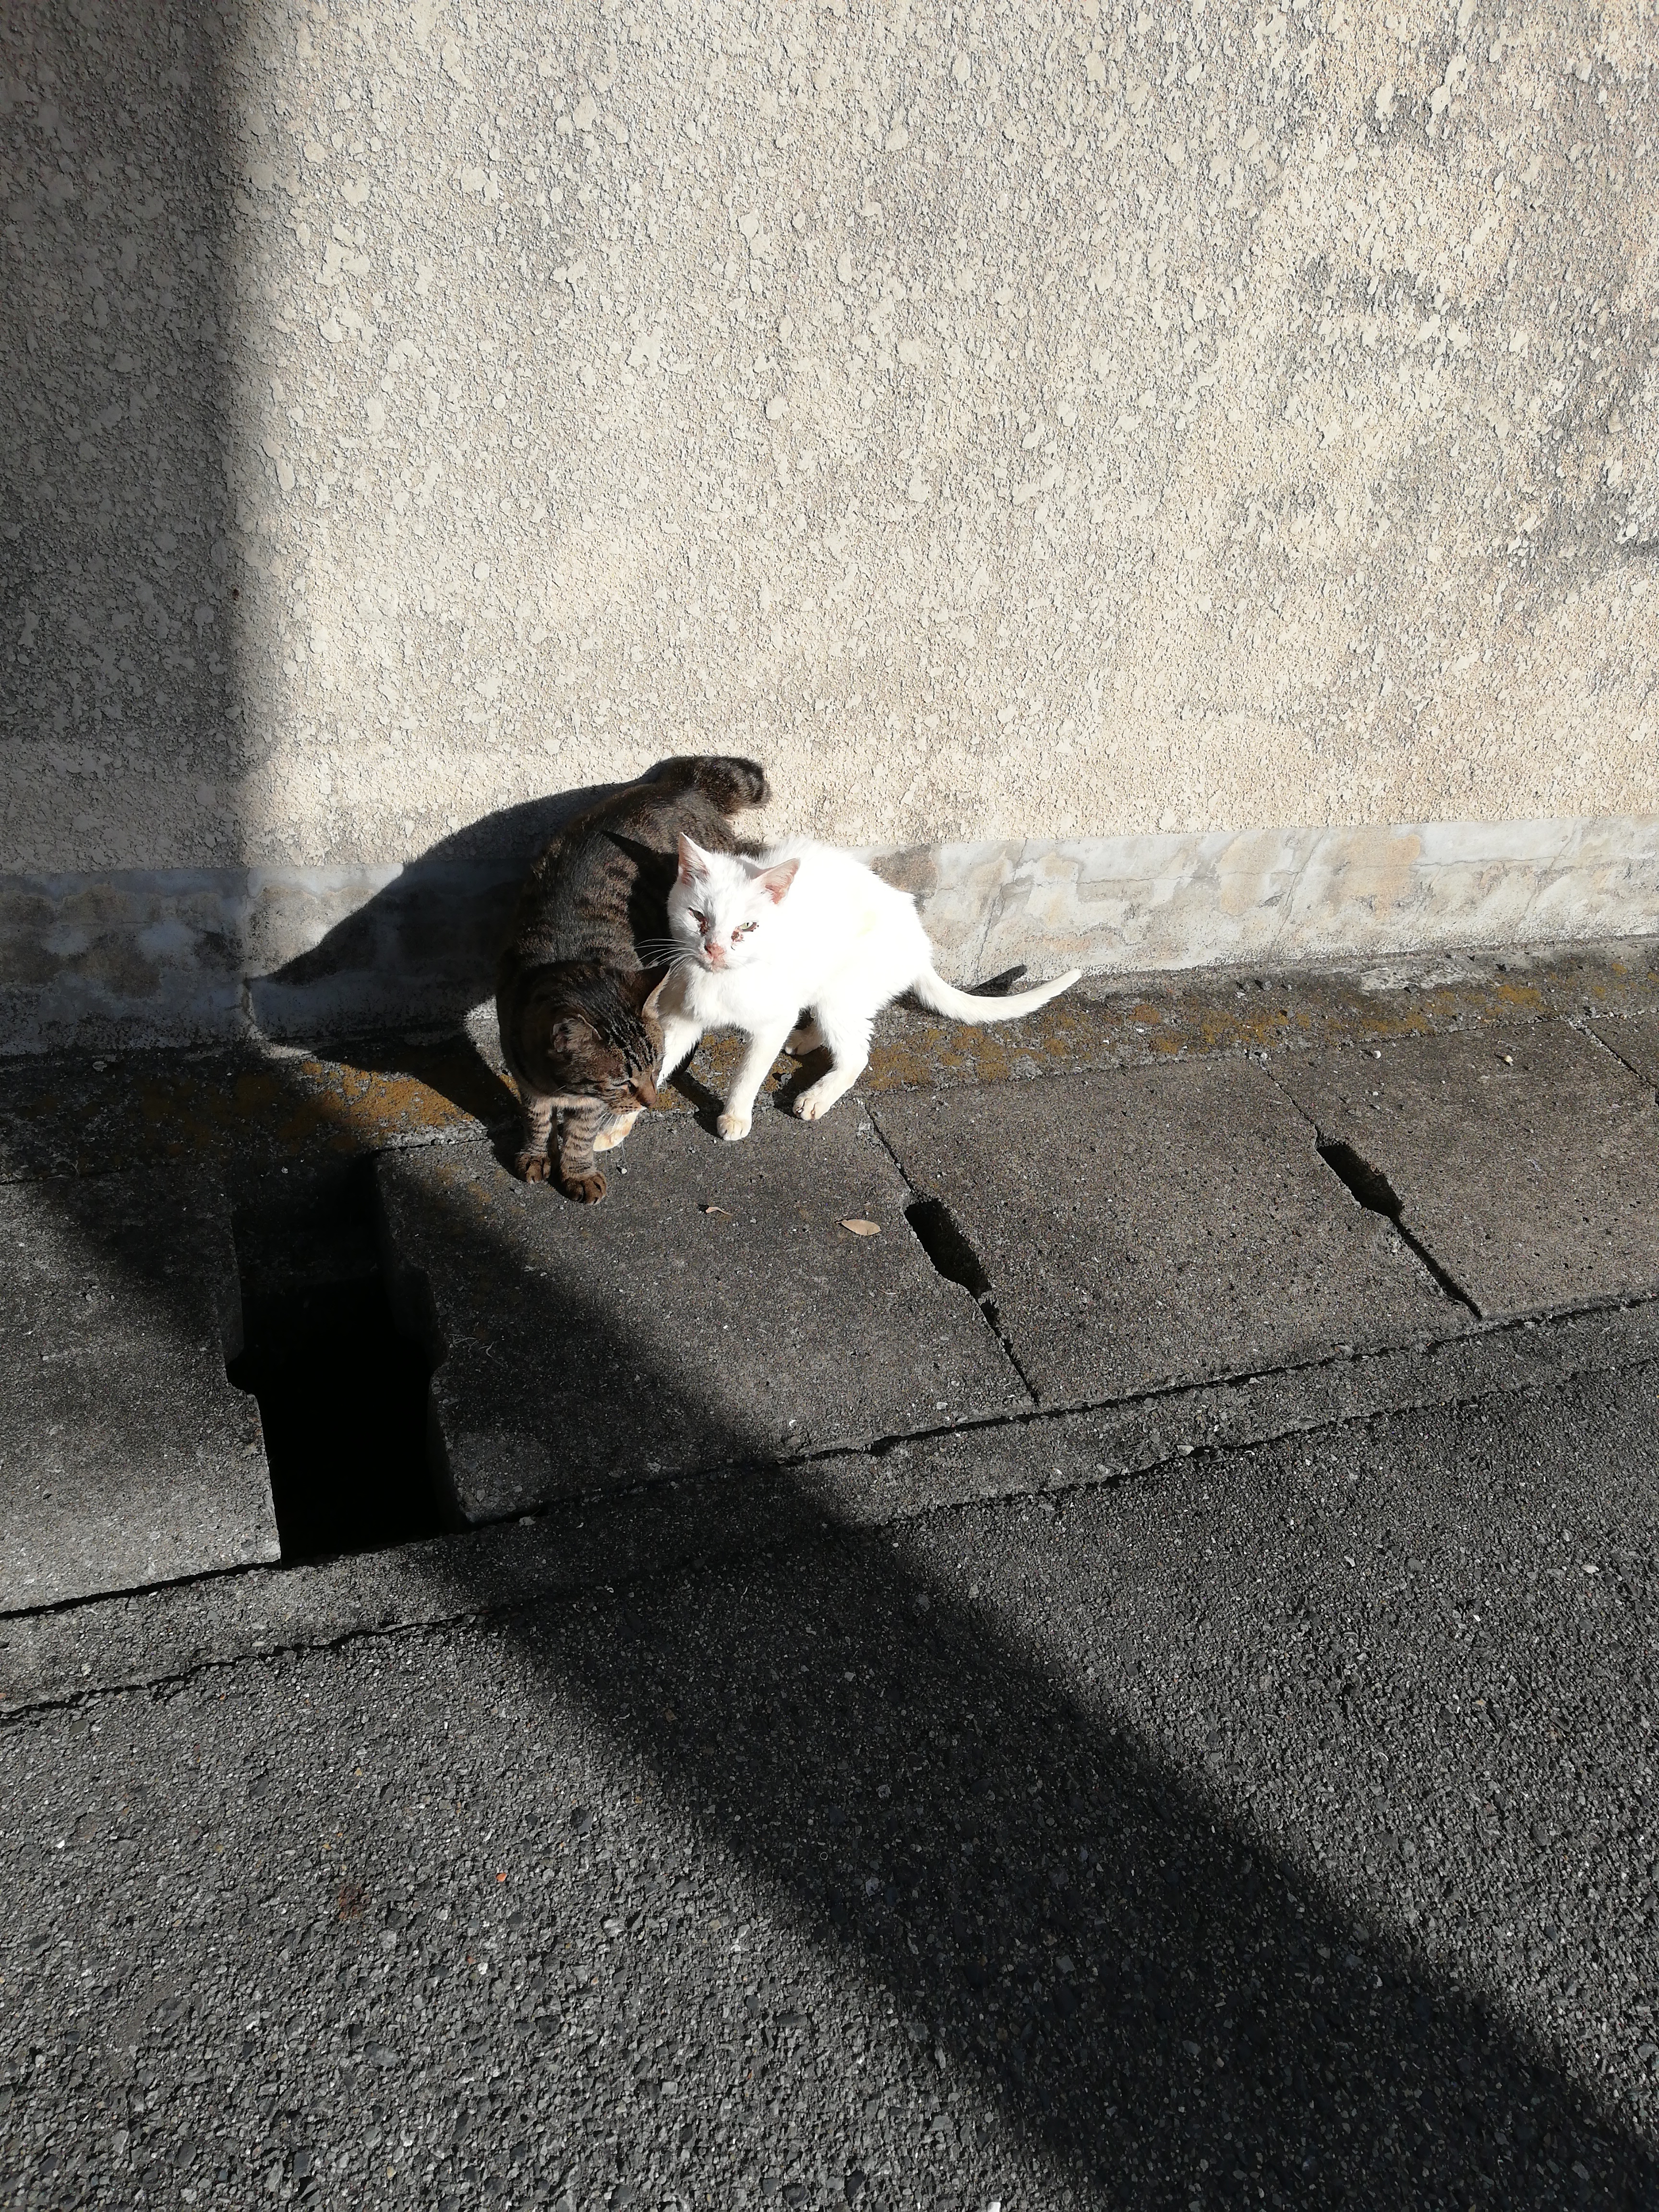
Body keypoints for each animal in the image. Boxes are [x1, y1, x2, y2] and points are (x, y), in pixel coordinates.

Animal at [493, 752, 774, 1203]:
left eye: (654, 1063)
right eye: (622, 1081)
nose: (652, 1101)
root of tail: (682, 785)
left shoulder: (588, 1104)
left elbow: (580, 1133)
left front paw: (578, 1171)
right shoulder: (523, 1072)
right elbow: (536, 1117)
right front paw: (535, 1154)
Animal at [650, 831, 1093, 1141]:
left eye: (747, 927)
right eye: (698, 918)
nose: (713, 949)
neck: (720, 981)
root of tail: (920, 944)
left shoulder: (772, 1020)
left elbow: (749, 1073)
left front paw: (736, 1116)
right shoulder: (678, 1014)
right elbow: (660, 1055)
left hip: (843, 991)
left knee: (857, 1055)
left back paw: (817, 1095)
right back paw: (806, 1039)